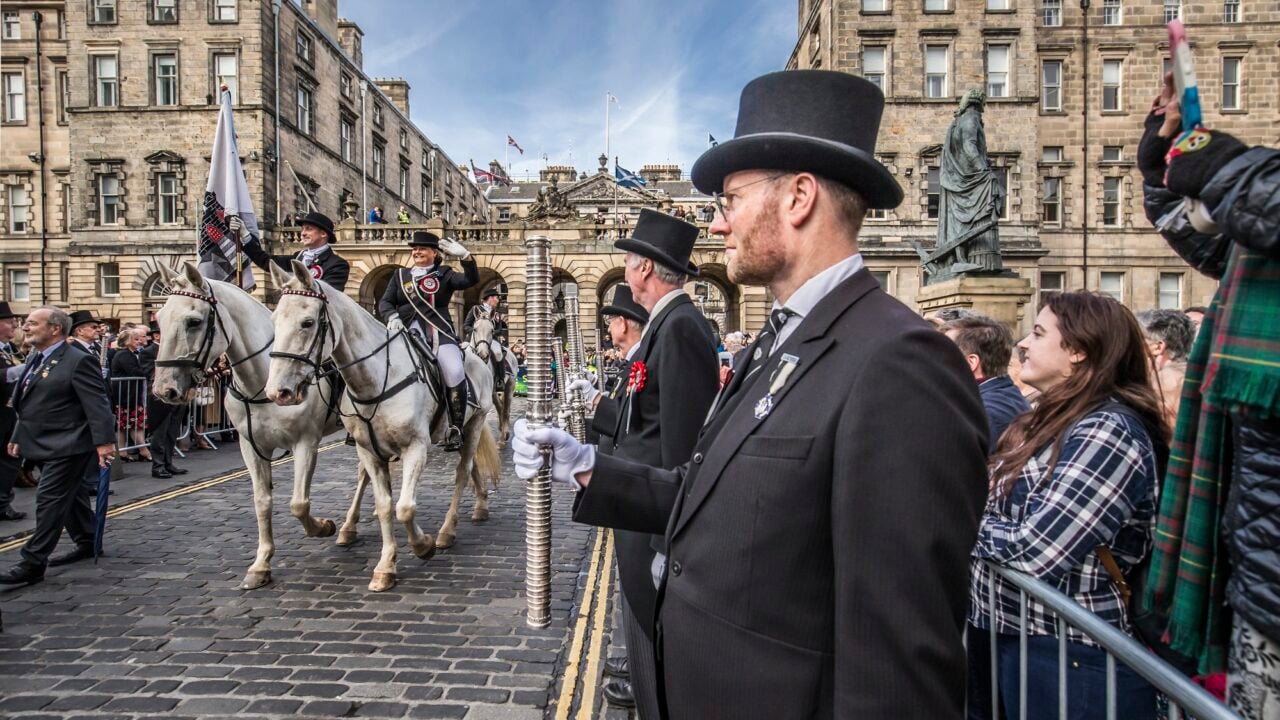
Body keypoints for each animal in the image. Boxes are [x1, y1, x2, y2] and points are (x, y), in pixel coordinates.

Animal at [151, 260, 371, 586]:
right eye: (159, 318)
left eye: (193, 321)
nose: (164, 389)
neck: (261, 383)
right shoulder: (250, 445)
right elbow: (261, 501)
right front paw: (261, 564)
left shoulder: (306, 442)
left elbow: (299, 503)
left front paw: (322, 527)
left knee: (363, 473)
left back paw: (347, 527)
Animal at [264, 257, 499, 589]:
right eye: (274, 321)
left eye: (307, 322)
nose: (278, 392)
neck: (375, 377)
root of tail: (476, 357)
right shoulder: (369, 450)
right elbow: (386, 504)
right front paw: (386, 566)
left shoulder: (416, 447)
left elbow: (405, 507)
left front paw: (423, 545)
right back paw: (479, 506)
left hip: (475, 422)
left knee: (462, 472)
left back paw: (446, 531)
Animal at [468, 313, 517, 443]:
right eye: (475, 329)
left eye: (492, 330)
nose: (483, 355)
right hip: (494, 391)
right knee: (500, 407)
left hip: (510, 385)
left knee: (506, 410)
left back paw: (504, 435)